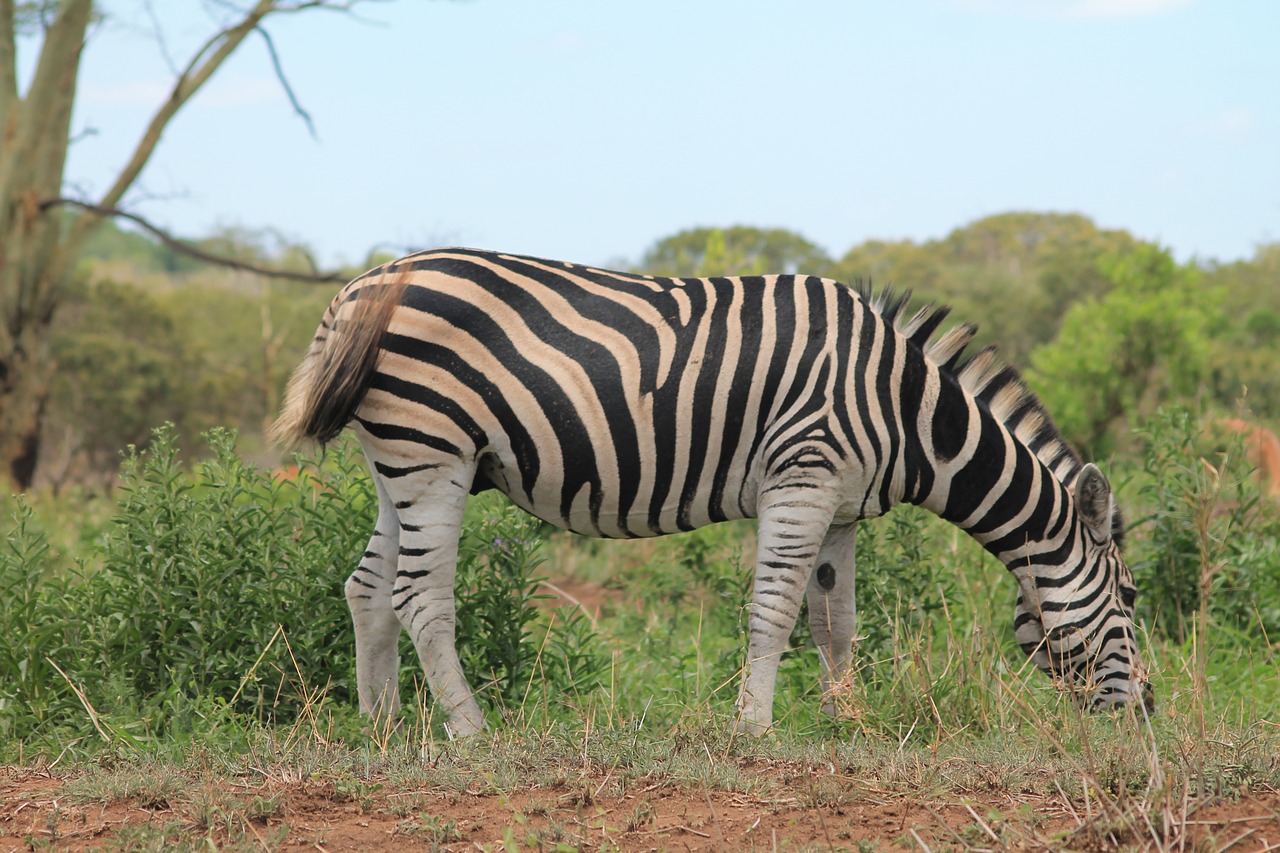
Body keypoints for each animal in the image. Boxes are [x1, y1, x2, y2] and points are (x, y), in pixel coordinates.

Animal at [270, 242, 1152, 732]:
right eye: (1134, 598)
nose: (1149, 713)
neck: (907, 410)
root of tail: (365, 285)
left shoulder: (840, 508)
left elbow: (835, 620)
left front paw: (846, 719)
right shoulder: (803, 478)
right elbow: (775, 609)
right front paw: (755, 726)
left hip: (400, 458)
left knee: (367, 586)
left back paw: (382, 726)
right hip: (435, 450)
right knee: (419, 593)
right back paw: (469, 730)